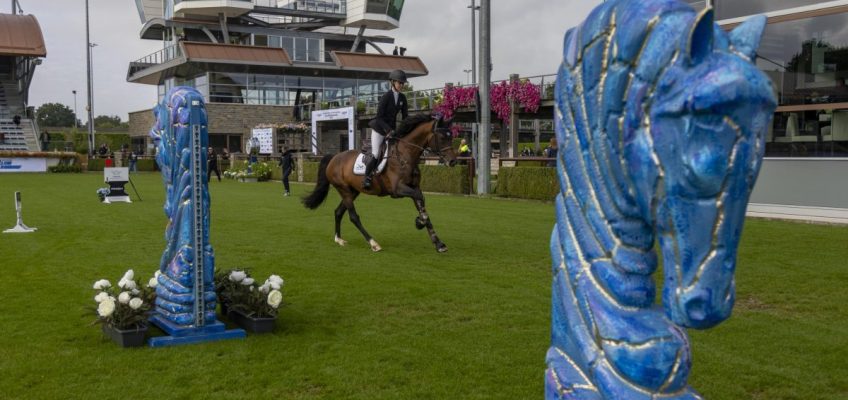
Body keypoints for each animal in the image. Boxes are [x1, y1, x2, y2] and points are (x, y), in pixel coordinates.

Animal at [304, 114, 458, 253]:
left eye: (451, 137)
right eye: (442, 138)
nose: (453, 161)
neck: (406, 155)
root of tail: (334, 157)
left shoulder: (414, 187)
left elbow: (421, 203)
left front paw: (438, 243)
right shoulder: (398, 189)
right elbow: (421, 200)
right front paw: (420, 222)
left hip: (353, 191)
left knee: (338, 212)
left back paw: (339, 239)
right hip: (344, 189)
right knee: (353, 217)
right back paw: (373, 243)